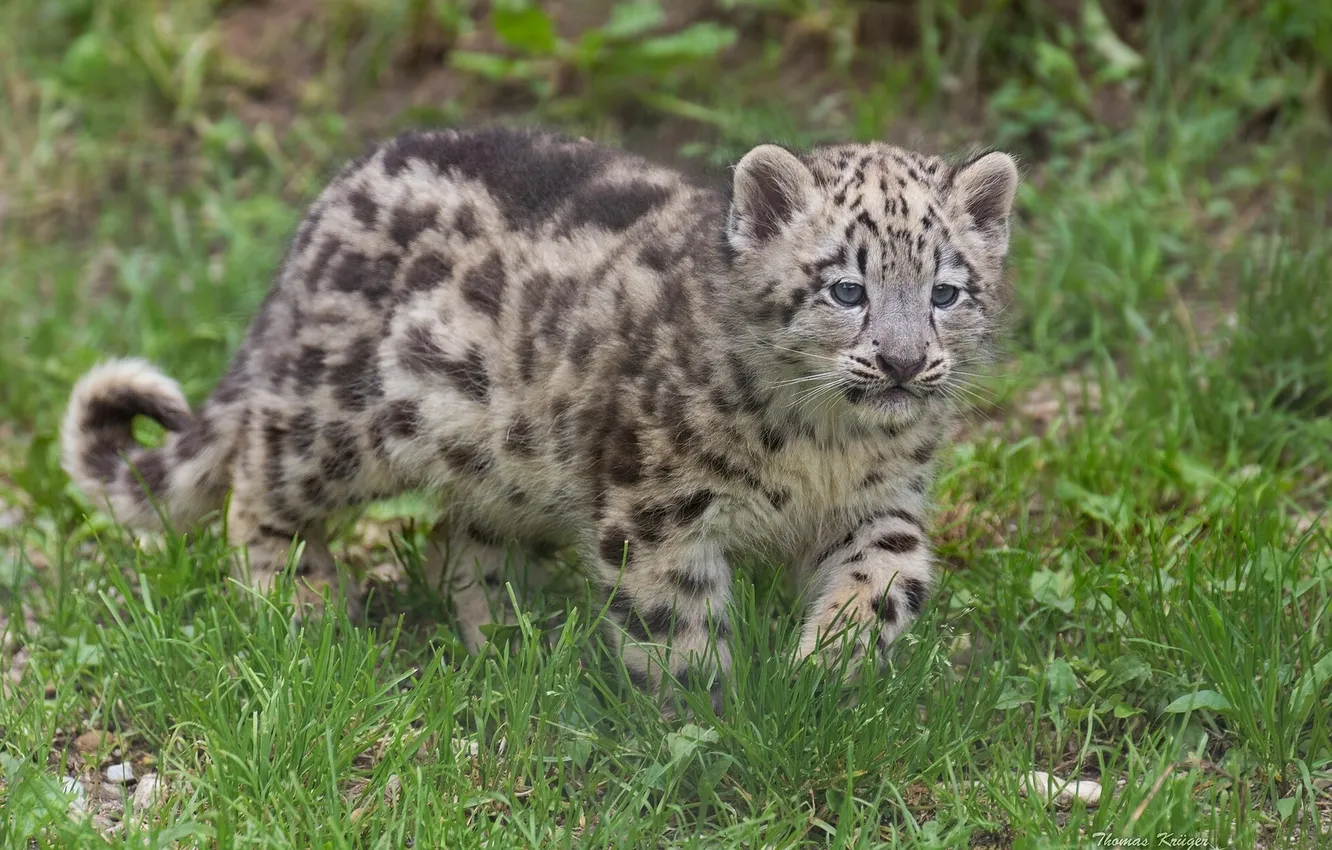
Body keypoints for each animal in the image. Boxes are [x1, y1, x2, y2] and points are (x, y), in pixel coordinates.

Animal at [61, 126, 1018, 701]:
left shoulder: (883, 499)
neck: (826, 447)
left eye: (946, 291)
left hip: (505, 466)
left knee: (464, 544)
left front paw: (829, 663)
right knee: (260, 478)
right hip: (335, 421)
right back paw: (301, 602)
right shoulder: (657, 509)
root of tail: (319, 215)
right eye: (846, 288)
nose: (903, 361)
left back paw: (513, 640)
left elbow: (889, 575)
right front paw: (706, 715)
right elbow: (673, 622)